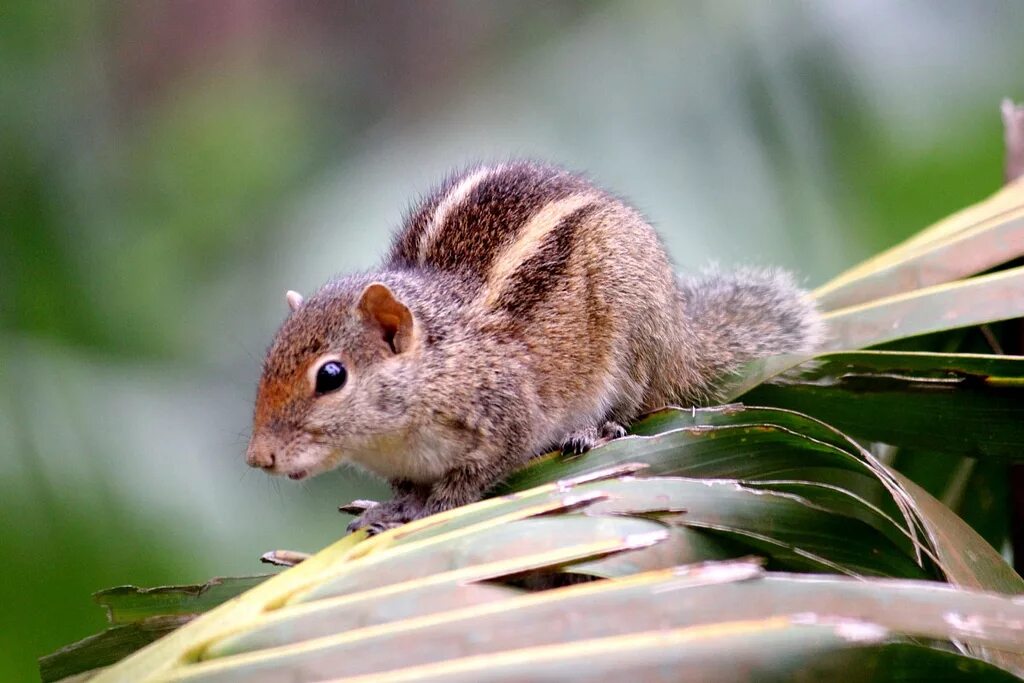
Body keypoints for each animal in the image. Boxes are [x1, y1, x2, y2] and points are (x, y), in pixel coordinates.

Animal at [243, 161, 819, 532]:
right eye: (266, 364)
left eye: (331, 376)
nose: (257, 458)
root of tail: (681, 342)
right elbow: (406, 486)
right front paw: (389, 507)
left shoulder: (507, 416)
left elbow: (471, 477)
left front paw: (429, 509)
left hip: (632, 330)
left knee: (635, 402)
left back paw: (596, 428)